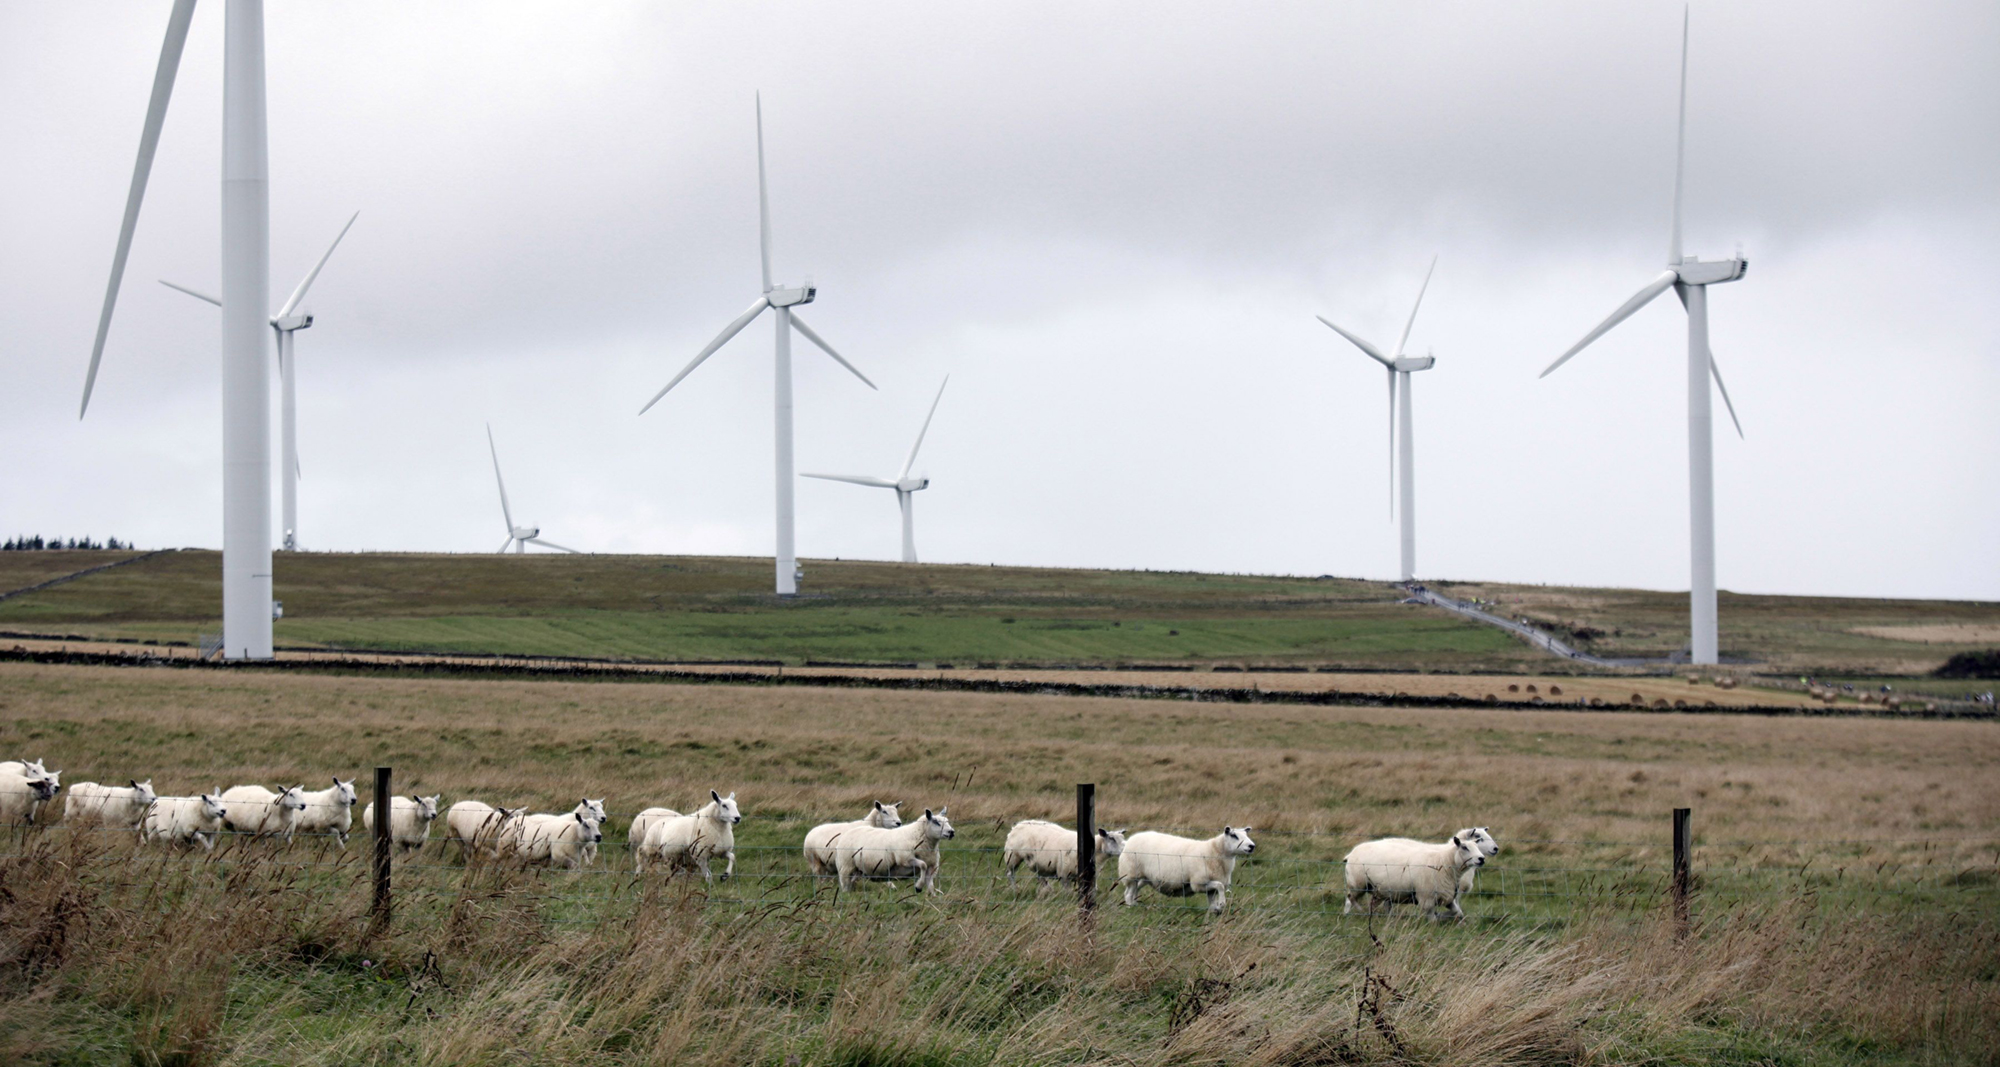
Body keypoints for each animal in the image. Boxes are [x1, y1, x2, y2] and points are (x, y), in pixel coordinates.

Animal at [1000, 819, 1128, 887]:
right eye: (1111, 838)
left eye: (1122, 838)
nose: (1126, 849)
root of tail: (1018, 825)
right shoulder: (1064, 875)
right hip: (1012, 857)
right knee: (1010, 874)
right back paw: (1016, 890)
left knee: (1040, 877)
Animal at [1112, 831, 1248, 915]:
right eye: (1234, 835)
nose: (1251, 846)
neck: (1214, 851)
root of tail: (1127, 842)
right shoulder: (1198, 882)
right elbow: (1220, 886)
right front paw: (1221, 904)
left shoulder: (1209, 885)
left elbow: (1213, 900)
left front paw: (1216, 910)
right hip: (1131, 873)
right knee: (1129, 894)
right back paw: (1131, 909)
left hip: (1143, 877)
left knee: (1132, 892)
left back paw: (1135, 905)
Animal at [1344, 831, 1488, 923]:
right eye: (1464, 847)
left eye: (1477, 846)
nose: (1481, 859)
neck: (1443, 862)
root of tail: (1351, 853)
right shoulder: (1426, 899)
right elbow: (1433, 920)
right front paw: (1437, 919)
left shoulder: (1447, 897)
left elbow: (1457, 912)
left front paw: (1444, 916)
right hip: (1358, 884)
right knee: (1350, 898)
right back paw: (1353, 913)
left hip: (1378, 890)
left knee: (1371, 904)